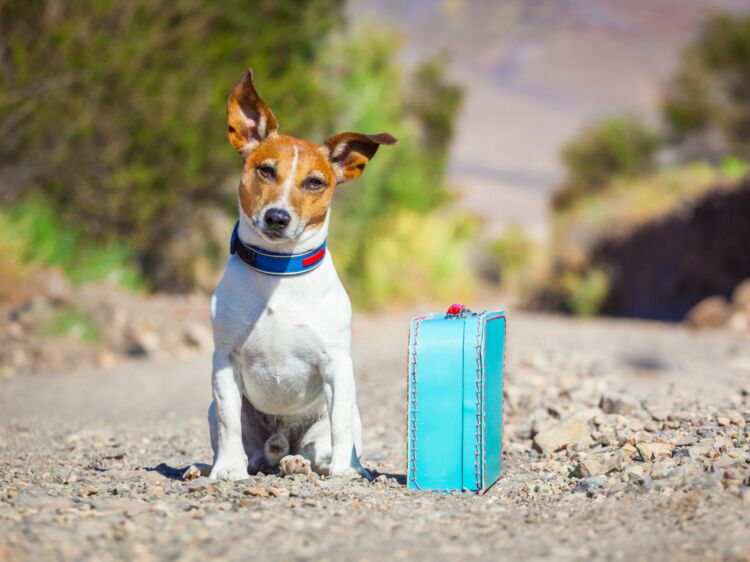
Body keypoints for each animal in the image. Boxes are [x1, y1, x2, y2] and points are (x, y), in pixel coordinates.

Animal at [206, 68, 394, 480]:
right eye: (266, 170)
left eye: (314, 182)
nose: (277, 217)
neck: (279, 272)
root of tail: (280, 443)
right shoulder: (224, 361)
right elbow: (228, 420)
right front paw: (226, 470)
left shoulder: (337, 365)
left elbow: (340, 426)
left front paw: (343, 472)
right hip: (223, 415)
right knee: (250, 449)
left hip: (338, 417)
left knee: (319, 446)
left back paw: (307, 463)